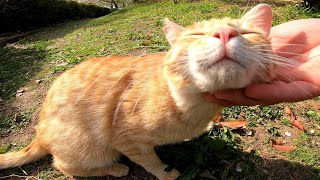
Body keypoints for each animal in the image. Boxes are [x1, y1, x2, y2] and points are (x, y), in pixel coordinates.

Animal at [0, 4, 276, 180]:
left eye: (247, 32)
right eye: (196, 34)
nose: (224, 33)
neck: (193, 106)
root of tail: (39, 132)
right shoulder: (126, 141)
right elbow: (151, 162)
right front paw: (166, 174)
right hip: (91, 149)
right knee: (63, 166)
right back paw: (113, 169)